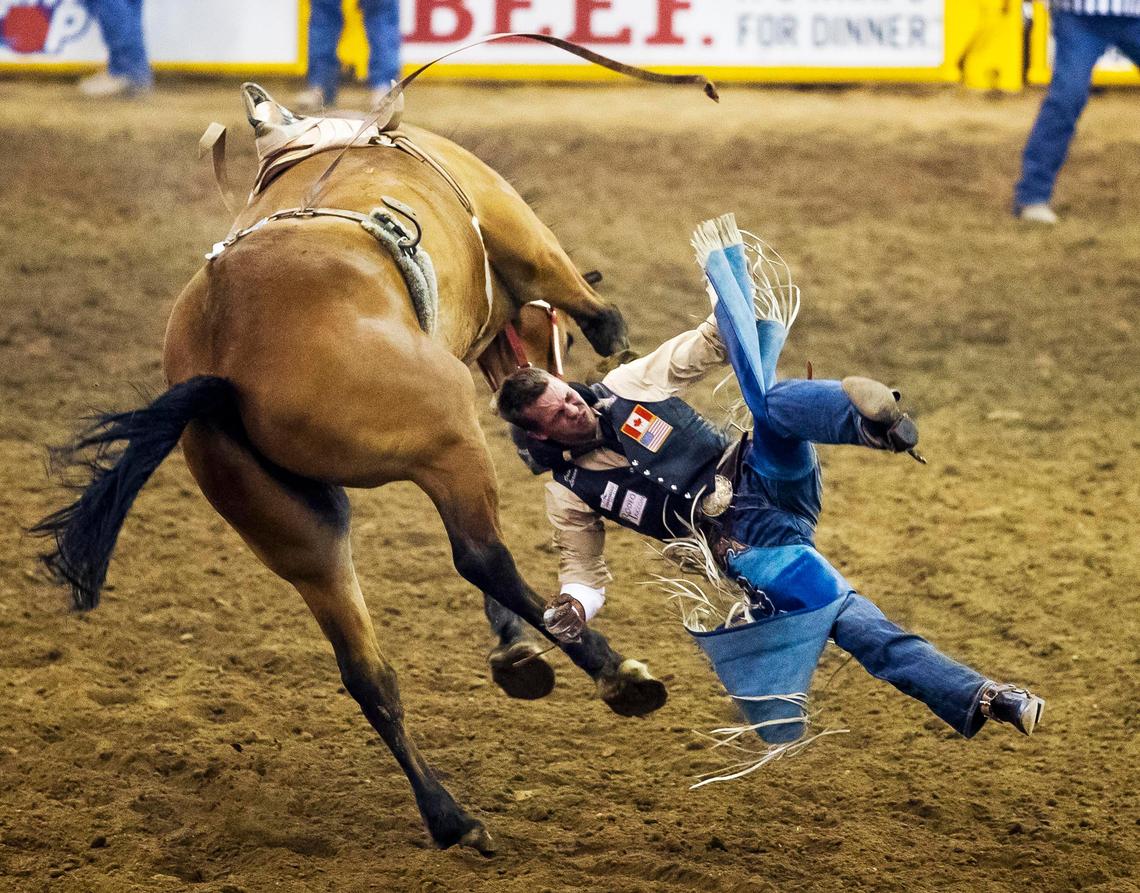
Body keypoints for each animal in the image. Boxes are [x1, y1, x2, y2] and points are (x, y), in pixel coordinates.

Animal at [31, 93, 672, 854]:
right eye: (560, 339)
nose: (543, 407)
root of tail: (223, 367)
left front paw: (514, 654)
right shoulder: (530, 253)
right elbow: (599, 312)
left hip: (300, 529)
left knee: (368, 671)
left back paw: (451, 815)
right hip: (447, 434)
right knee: (481, 555)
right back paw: (617, 674)